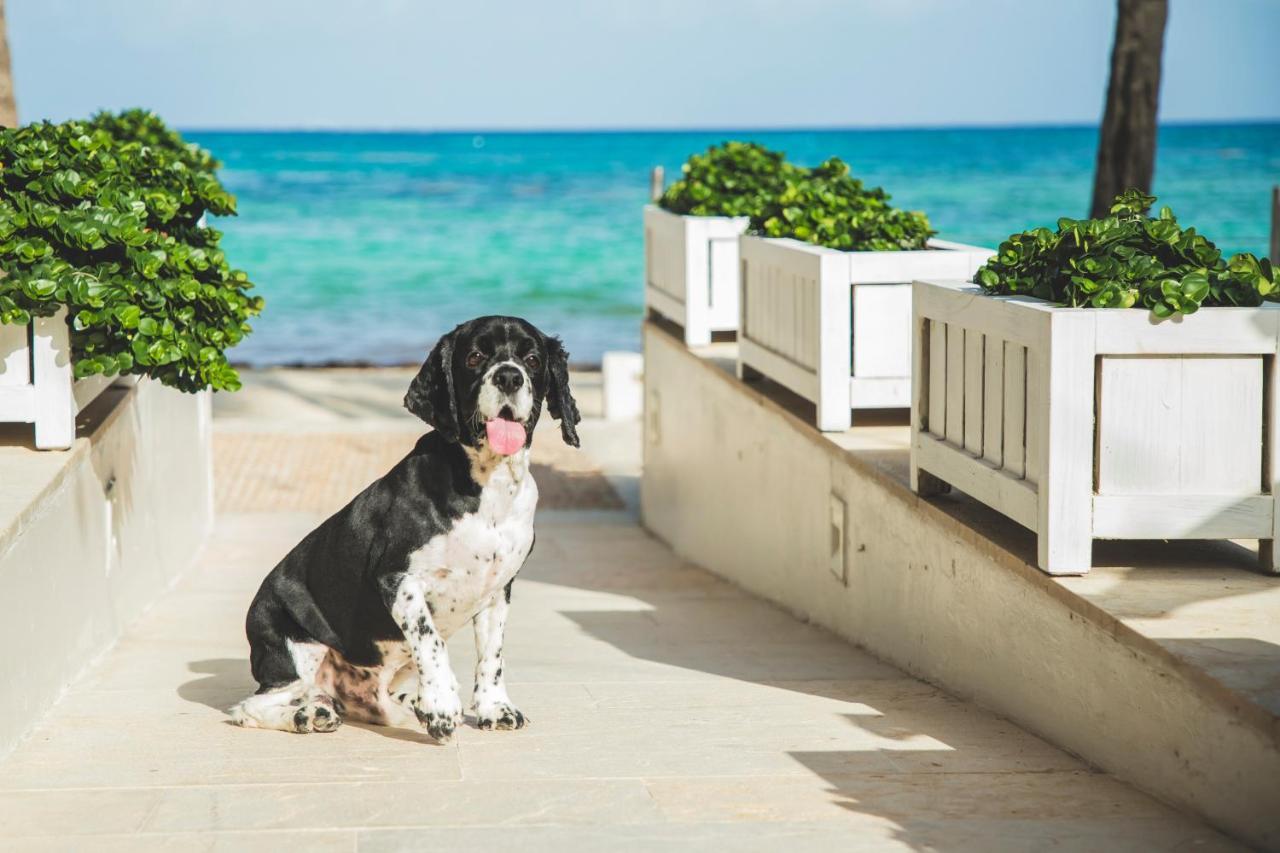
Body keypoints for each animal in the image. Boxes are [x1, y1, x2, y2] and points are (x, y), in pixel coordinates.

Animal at [230, 315, 581, 742]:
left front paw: (494, 708)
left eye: (532, 359)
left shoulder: (498, 589)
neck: (487, 485)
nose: (509, 377)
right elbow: (432, 642)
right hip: (293, 651)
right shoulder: (399, 580)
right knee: (249, 707)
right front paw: (442, 705)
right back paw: (307, 716)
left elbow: (491, 654)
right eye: (474, 357)